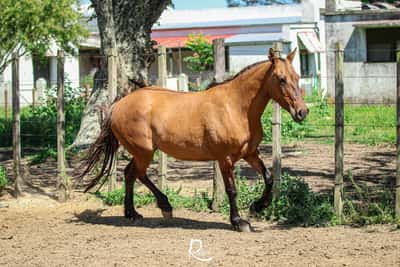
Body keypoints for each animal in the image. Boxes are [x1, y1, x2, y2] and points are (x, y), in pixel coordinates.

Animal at [79, 48, 308, 232]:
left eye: (297, 76)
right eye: (281, 78)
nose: (302, 112)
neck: (236, 107)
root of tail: (118, 105)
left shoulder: (249, 153)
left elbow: (269, 178)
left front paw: (257, 207)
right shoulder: (225, 159)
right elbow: (232, 190)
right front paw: (238, 222)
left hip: (142, 152)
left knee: (130, 174)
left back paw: (133, 213)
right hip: (144, 151)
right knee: (137, 174)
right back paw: (163, 207)